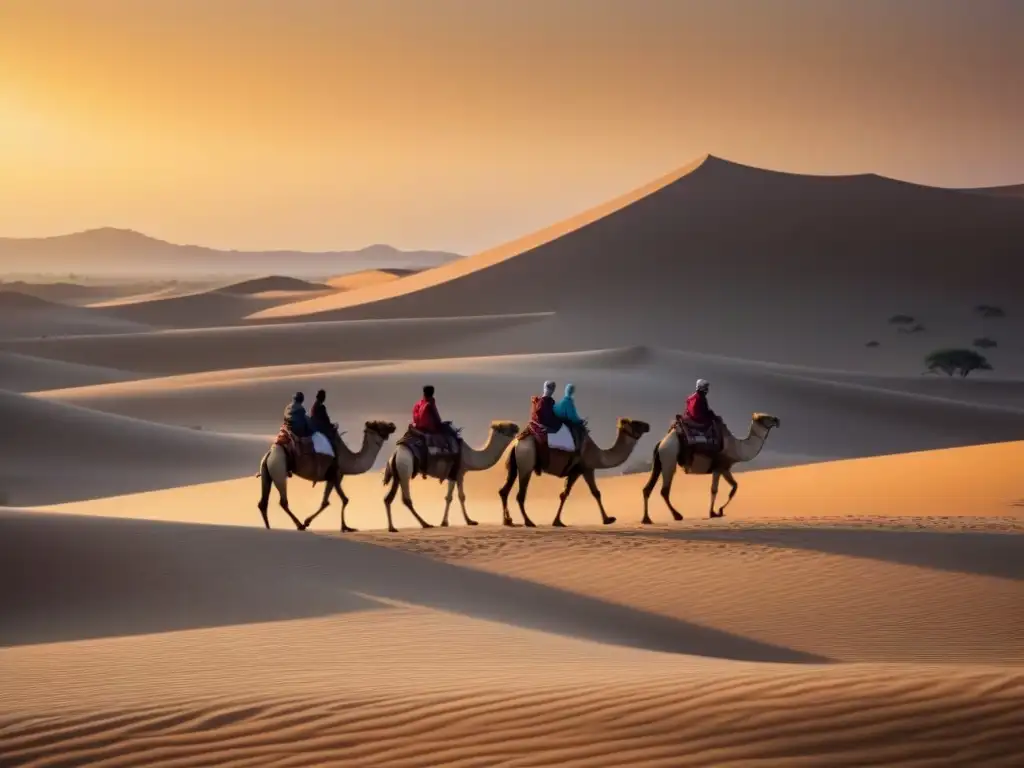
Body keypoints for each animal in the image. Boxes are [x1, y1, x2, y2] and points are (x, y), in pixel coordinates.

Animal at [256, 421, 395, 536]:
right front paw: (344, 527)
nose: (392, 425)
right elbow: (342, 500)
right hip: (279, 468)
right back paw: (299, 525)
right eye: (378, 424)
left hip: (267, 472)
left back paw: (269, 528)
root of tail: (269, 454)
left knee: (263, 503)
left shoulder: (332, 478)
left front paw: (345, 527)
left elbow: (329, 501)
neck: (348, 459)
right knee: (283, 501)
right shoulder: (336, 475)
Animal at [380, 421, 520, 536]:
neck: (469, 455)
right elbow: (454, 497)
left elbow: (457, 497)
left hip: (397, 474)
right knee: (406, 499)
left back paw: (392, 528)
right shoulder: (456, 473)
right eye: (504, 427)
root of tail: (394, 454)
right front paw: (460, 521)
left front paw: (463, 521)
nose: (517, 426)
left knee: (388, 498)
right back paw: (425, 524)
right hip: (405, 469)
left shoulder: (457, 475)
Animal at [499, 421, 651, 528]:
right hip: (526, 463)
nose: (648, 425)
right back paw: (529, 522)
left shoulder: (574, 472)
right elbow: (596, 493)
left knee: (504, 491)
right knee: (520, 495)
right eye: (636, 423)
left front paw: (557, 521)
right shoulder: (586, 468)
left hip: (515, 465)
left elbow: (564, 494)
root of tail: (516, 444)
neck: (598, 455)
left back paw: (508, 521)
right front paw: (608, 519)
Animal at [638, 415, 782, 524]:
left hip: (659, 462)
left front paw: (719, 510)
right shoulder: (718, 467)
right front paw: (714, 512)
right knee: (664, 491)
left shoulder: (725, 468)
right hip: (669, 458)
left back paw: (646, 519)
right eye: (765, 417)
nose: (777, 420)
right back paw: (677, 515)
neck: (737, 447)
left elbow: (734, 487)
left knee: (647, 488)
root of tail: (661, 443)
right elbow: (715, 490)